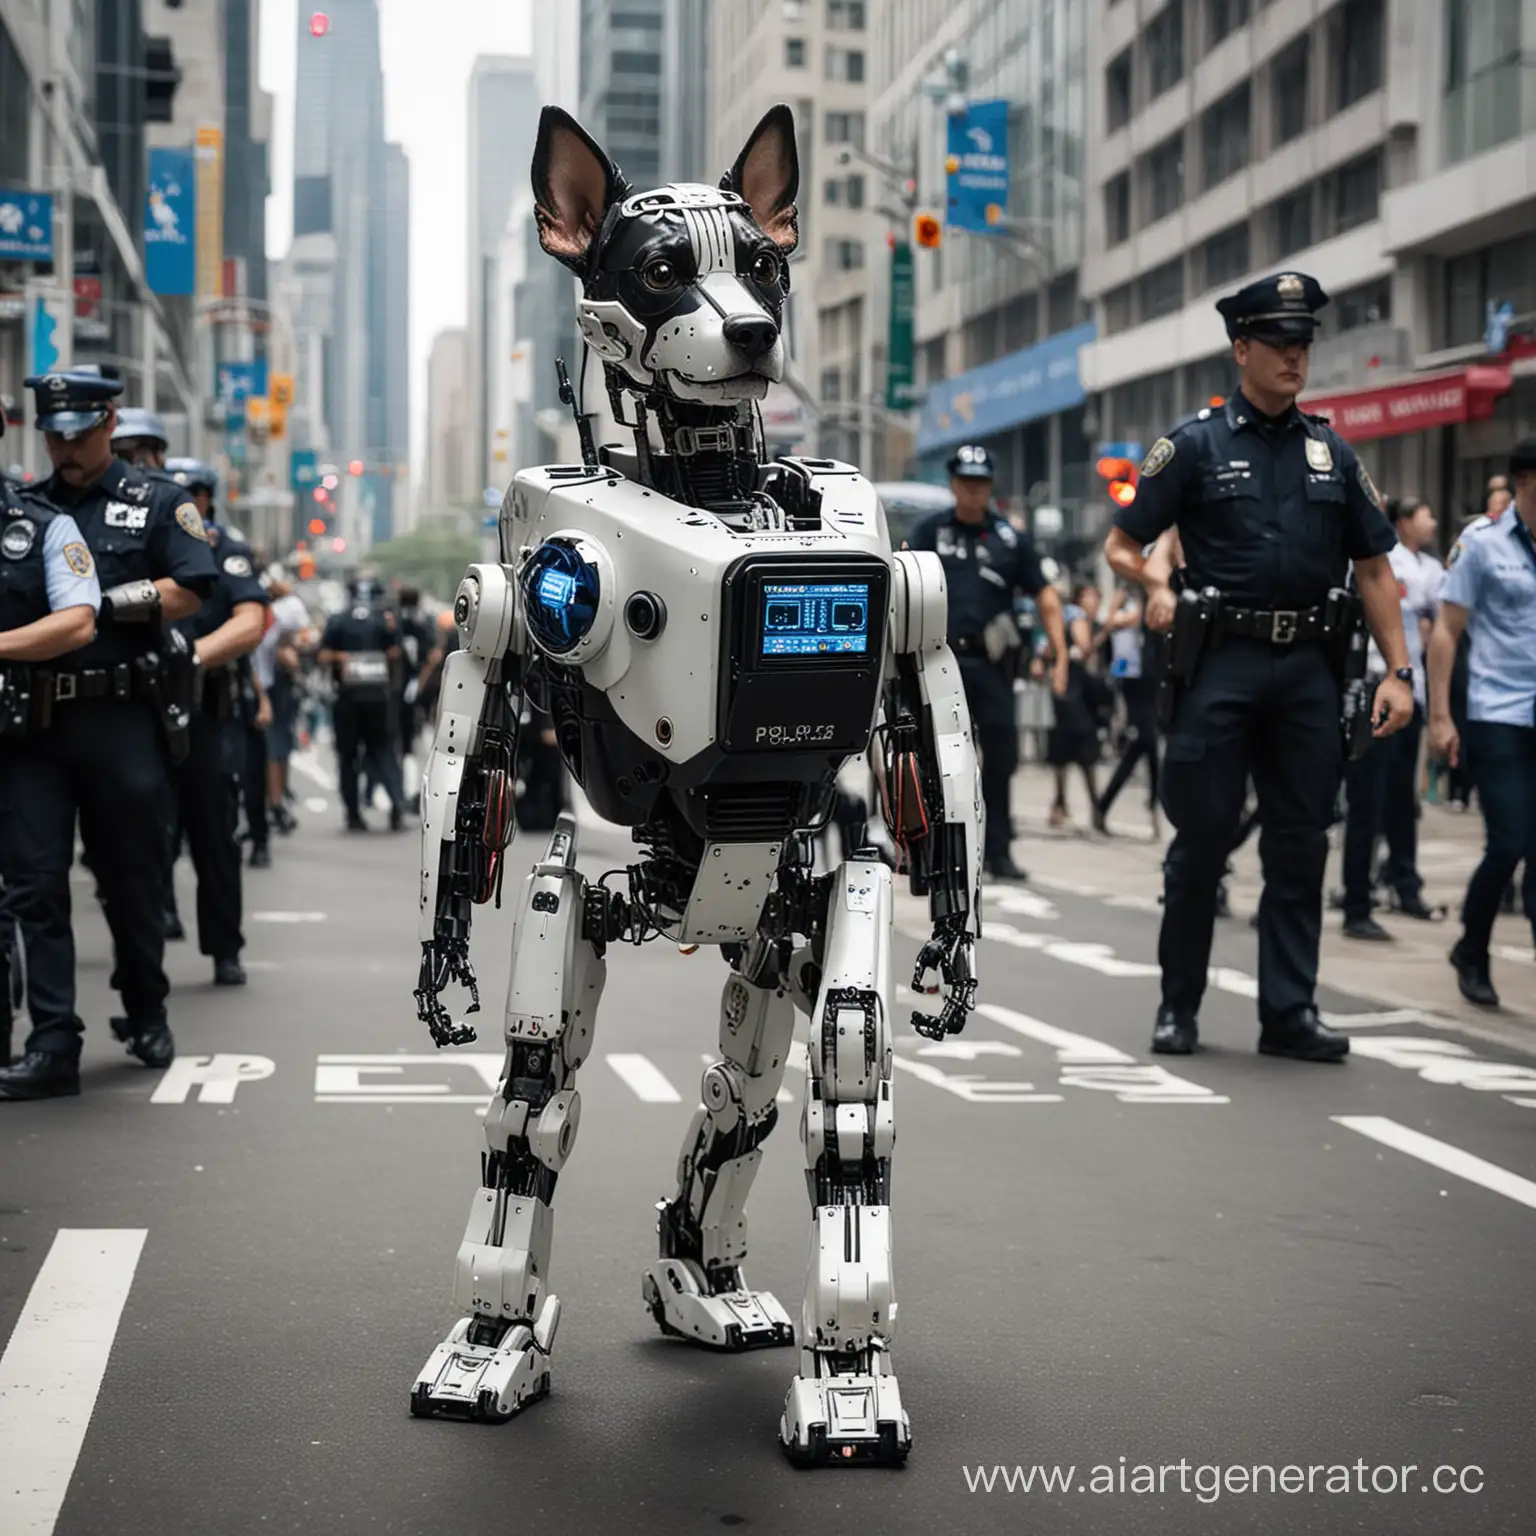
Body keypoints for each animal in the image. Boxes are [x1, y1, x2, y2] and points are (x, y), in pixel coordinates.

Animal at [411, 102, 983, 1456]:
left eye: (765, 264)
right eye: (664, 266)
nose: (755, 332)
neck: (708, 485)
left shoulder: (898, 577)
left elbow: (928, 740)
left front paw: (850, 1380)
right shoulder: (517, 586)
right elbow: (475, 753)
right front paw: (447, 967)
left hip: (782, 926)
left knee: (775, 1088)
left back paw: (716, 1288)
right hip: (598, 907)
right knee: (538, 1096)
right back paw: (491, 1343)